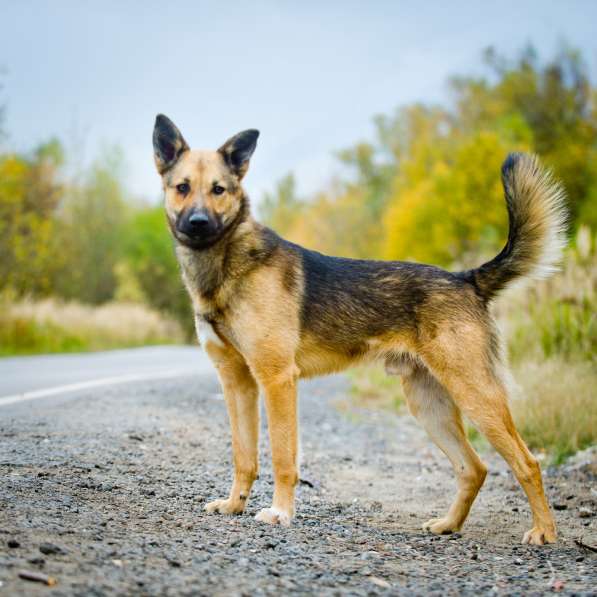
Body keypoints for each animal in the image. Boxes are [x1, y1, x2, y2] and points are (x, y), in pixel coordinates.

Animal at [151, 113, 564, 544]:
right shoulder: (236, 383)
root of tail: (467, 279)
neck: (226, 262)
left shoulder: (277, 379)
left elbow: (282, 456)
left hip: (477, 395)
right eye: (182, 187)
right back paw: (448, 524)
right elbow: (243, 456)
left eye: (219, 189)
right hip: (429, 405)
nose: (198, 223)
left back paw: (544, 531)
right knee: (474, 468)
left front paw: (280, 512)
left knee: (527, 463)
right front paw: (234, 505)